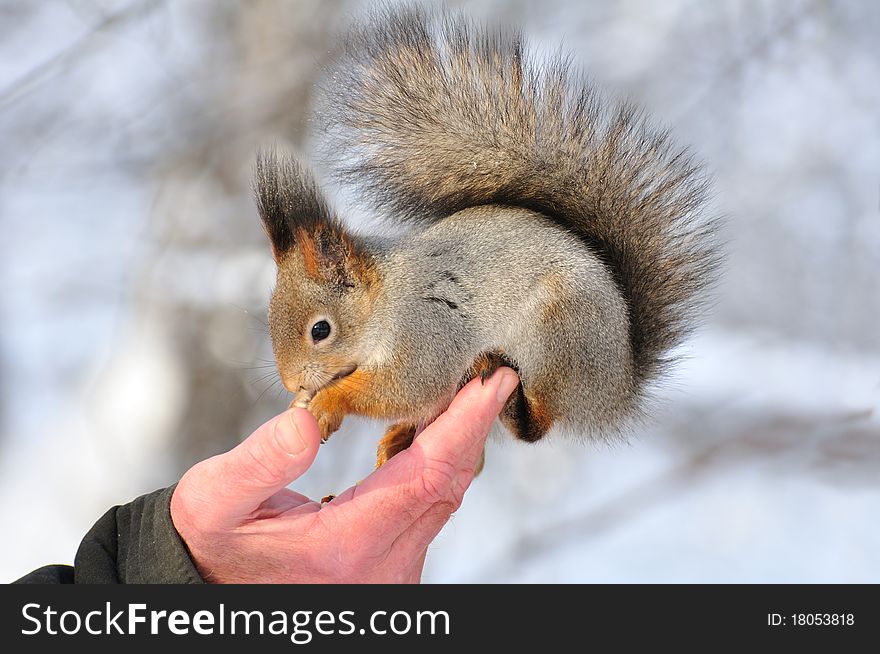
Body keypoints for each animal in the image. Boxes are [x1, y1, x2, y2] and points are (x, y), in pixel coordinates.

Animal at [251, 3, 720, 466]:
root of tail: (617, 389)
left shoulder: (427, 333)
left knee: (538, 423)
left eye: (321, 330)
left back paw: (508, 398)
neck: (385, 302)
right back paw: (400, 439)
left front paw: (329, 402)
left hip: (558, 337)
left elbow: (406, 387)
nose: (292, 384)